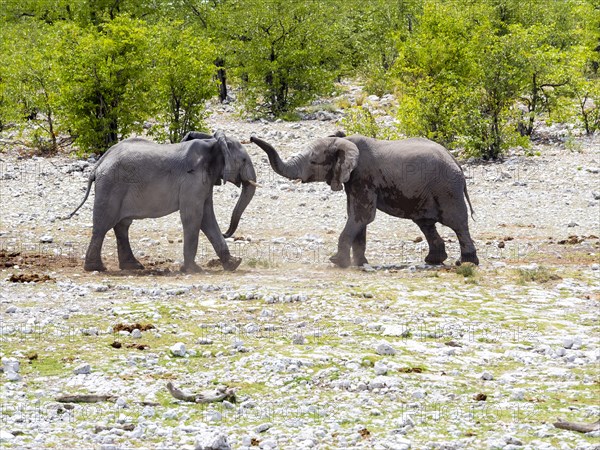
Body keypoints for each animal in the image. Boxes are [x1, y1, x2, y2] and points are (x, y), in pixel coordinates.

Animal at [64, 129, 256, 270]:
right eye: (244, 159)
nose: (227, 232)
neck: (213, 144)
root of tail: (98, 164)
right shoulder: (192, 181)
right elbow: (193, 216)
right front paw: (193, 270)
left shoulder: (204, 182)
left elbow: (207, 217)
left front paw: (234, 264)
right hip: (110, 187)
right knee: (103, 225)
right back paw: (97, 268)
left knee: (121, 226)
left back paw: (133, 266)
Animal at [251, 134, 480, 268]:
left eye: (314, 161)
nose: (252, 138)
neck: (344, 141)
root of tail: (457, 162)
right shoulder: (354, 180)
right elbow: (357, 216)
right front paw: (360, 263)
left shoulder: (364, 176)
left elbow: (362, 216)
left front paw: (337, 262)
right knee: (426, 224)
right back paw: (433, 261)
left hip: (447, 189)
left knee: (457, 223)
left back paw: (466, 263)